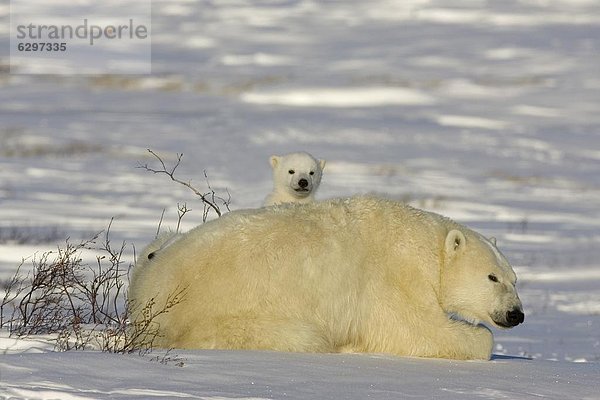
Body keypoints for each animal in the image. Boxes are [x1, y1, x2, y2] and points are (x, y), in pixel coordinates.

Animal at [129, 196, 524, 360]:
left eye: (514, 278)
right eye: (492, 277)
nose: (516, 314)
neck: (425, 245)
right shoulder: (393, 278)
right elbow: (417, 330)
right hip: (231, 316)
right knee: (304, 337)